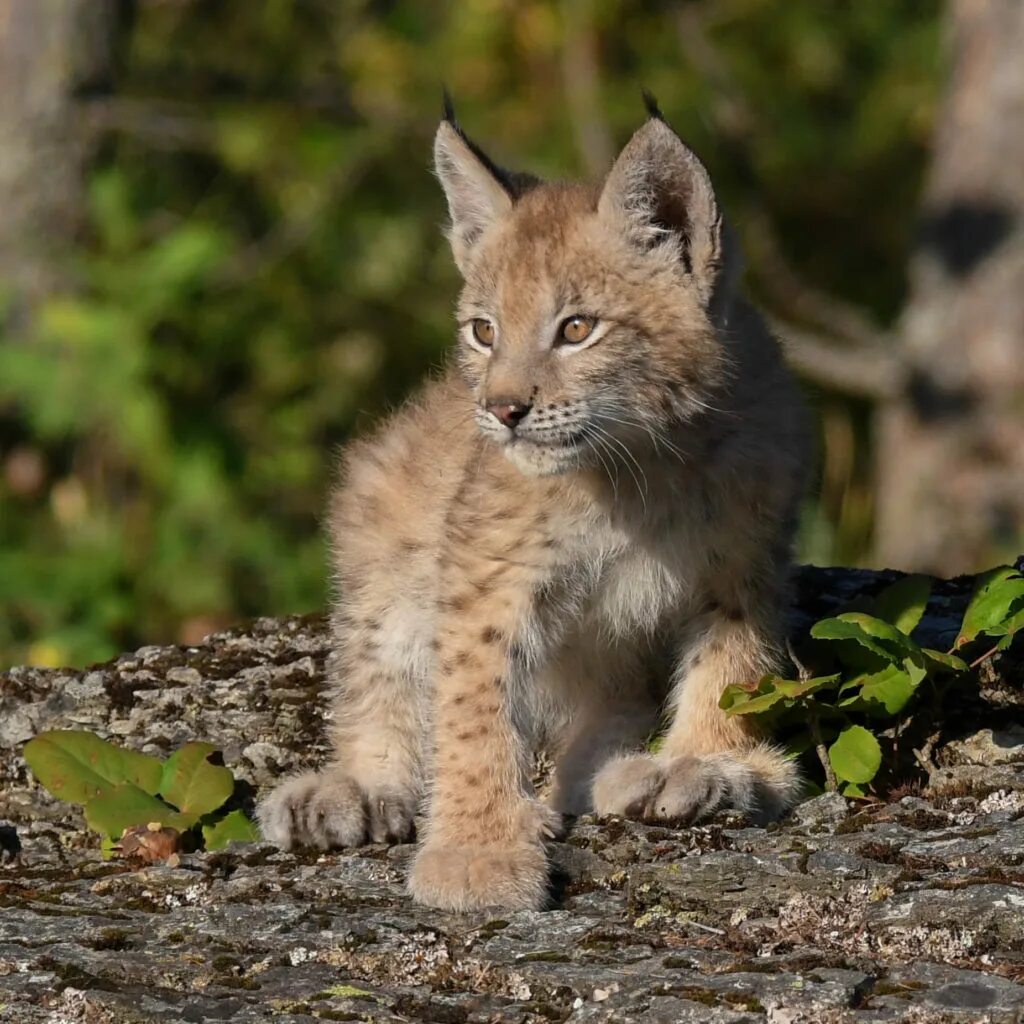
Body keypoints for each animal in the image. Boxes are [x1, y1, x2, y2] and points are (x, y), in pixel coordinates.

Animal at [256, 99, 806, 909]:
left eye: (576, 329)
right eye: (483, 332)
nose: (501, 410)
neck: (644, 464)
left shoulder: (746, 561)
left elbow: (733, 670)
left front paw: (710, 762)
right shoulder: (486, 574)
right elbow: (473, 707)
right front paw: (476, 849)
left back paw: (610, 771)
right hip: (380, 532)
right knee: (375, 674)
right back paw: (359, 787)